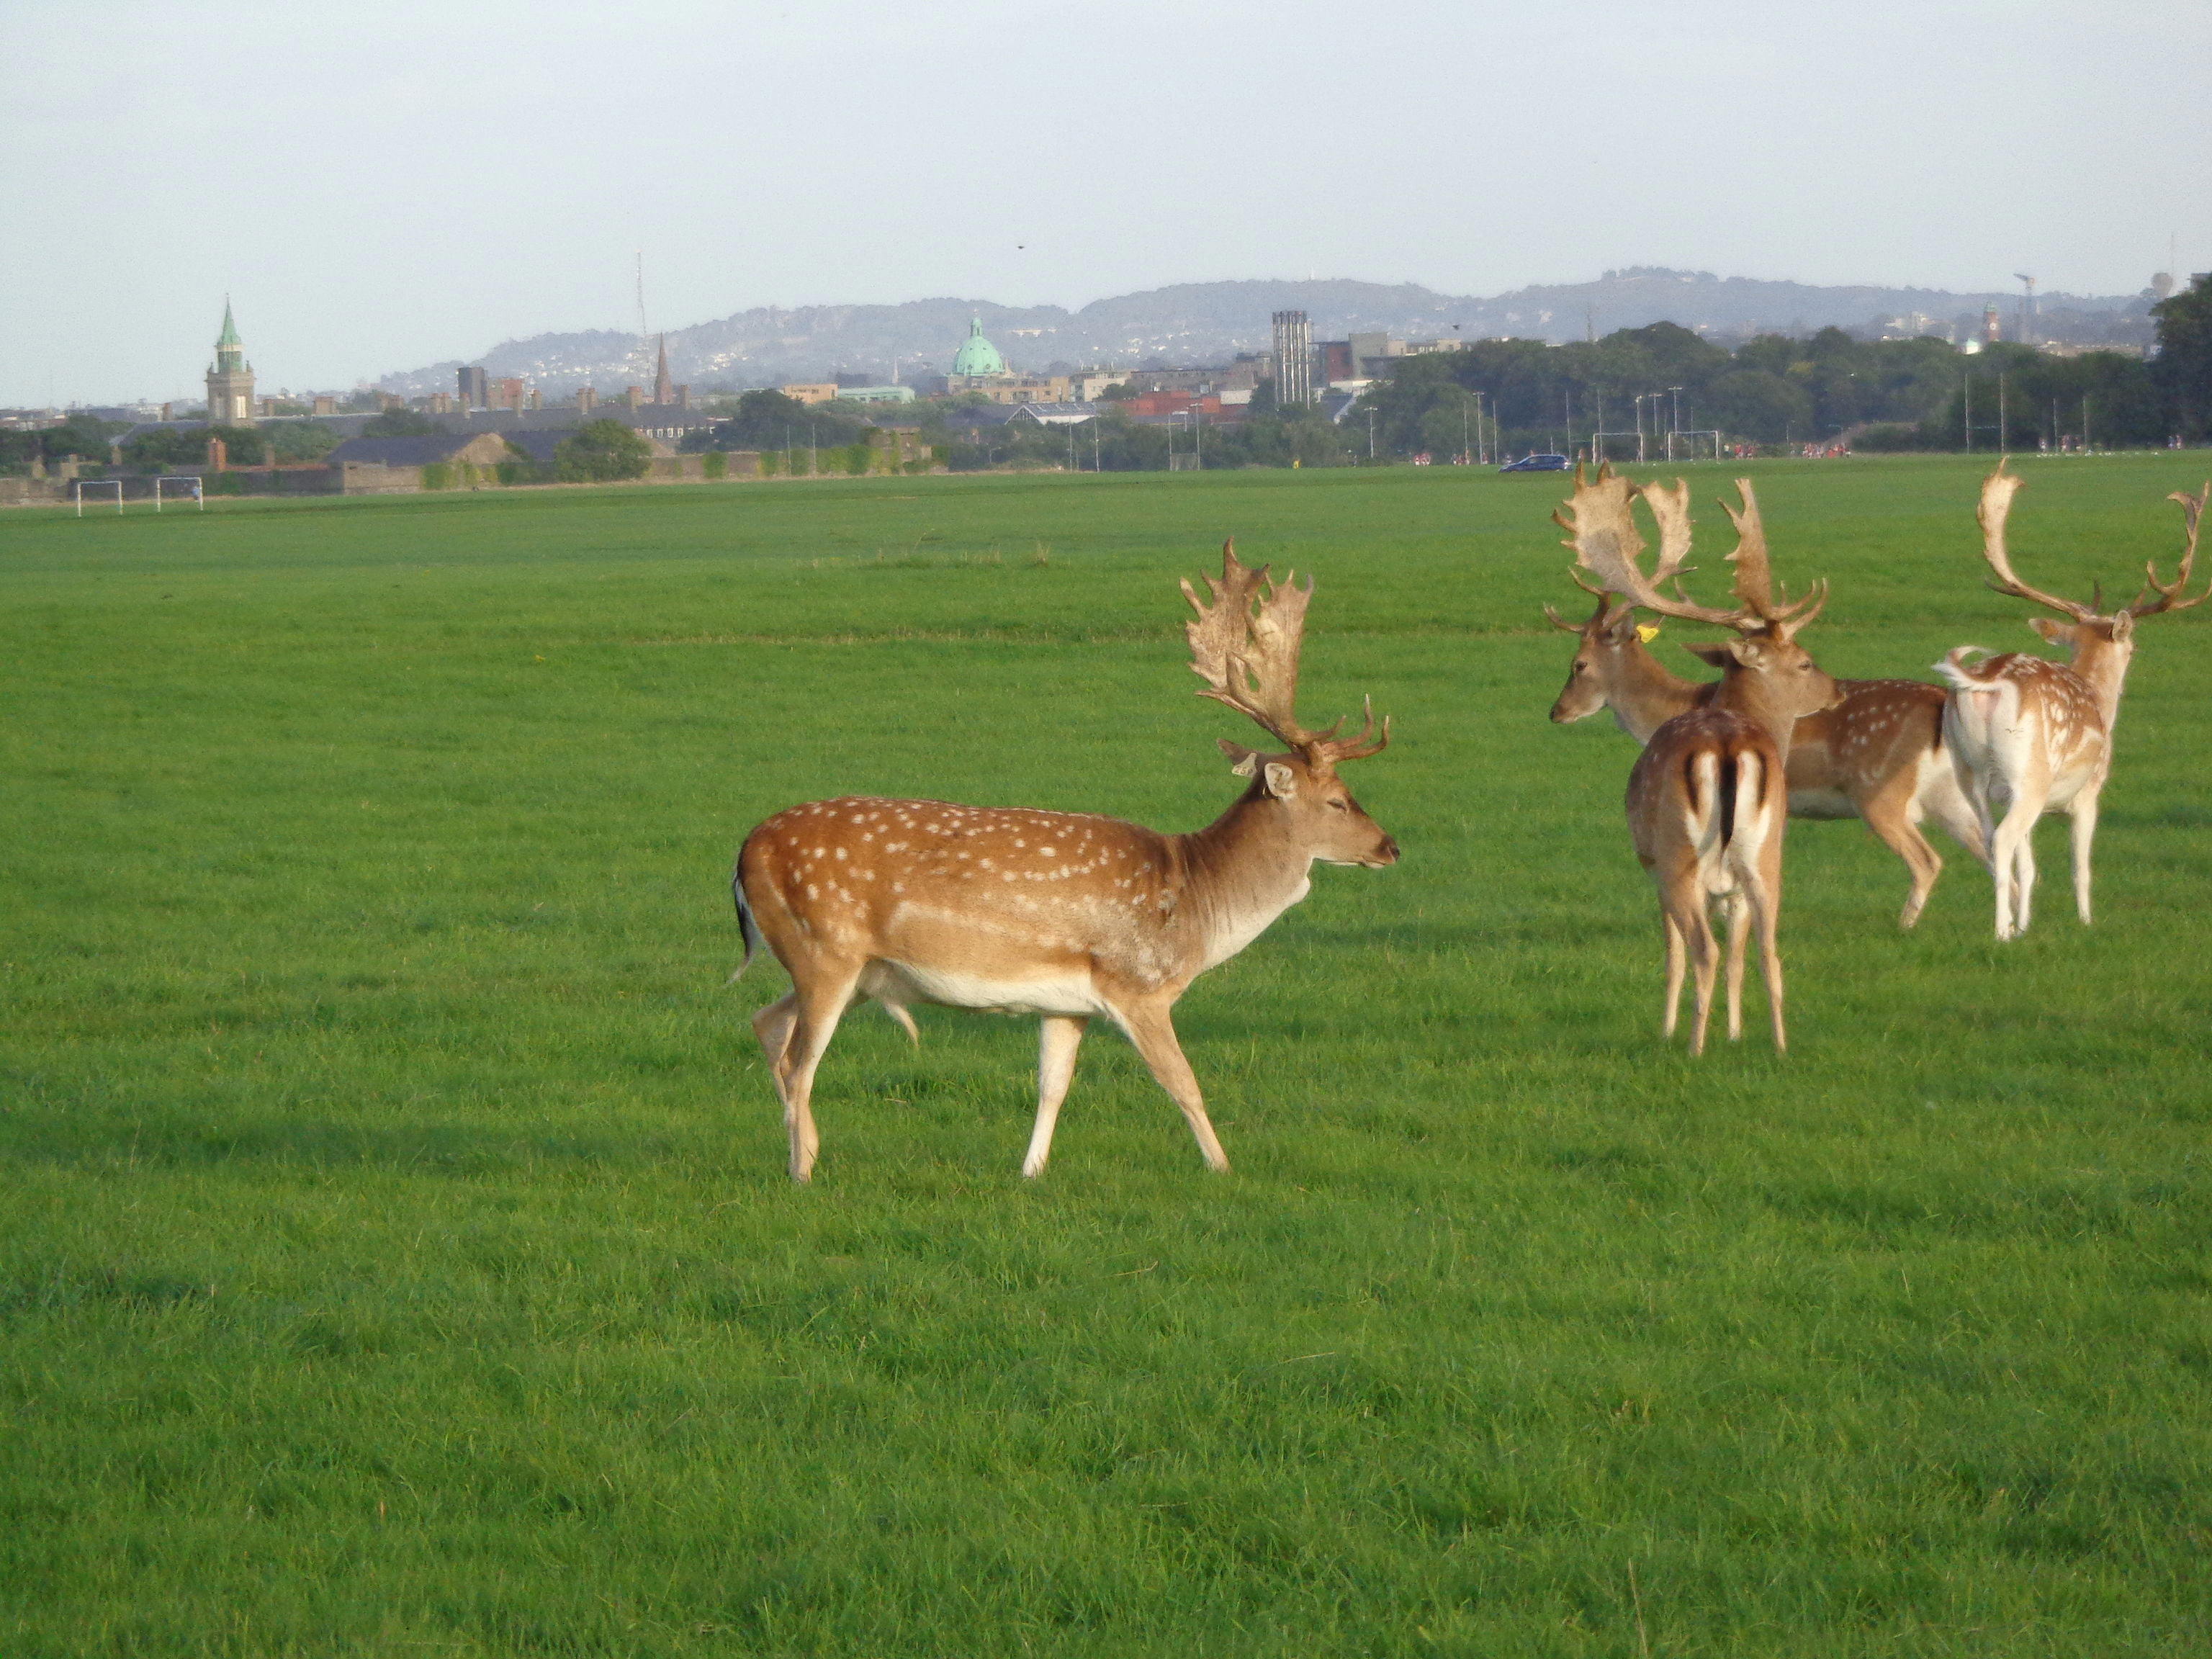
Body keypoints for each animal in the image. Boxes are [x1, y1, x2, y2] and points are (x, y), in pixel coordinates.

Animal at [734, 546, 1389, 1185]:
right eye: (1337, 799)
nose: (1389, 846)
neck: (1196, 899)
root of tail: (744, 854)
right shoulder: (1137, 985)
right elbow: (1183, 1083)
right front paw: (1223, 1168)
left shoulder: (1065, 1004)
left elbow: (1053, 1087)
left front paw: (1031, 1171)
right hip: (825, 949)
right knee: (798, 1061)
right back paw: (802, 1172)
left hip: (856, 972)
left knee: (766, 1021)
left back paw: (805, 1151)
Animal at [1548, 584, 2000, 929]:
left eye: (1579, 664)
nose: (1557, 711)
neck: (1680, 705)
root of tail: (1942, 700)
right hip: (1948, 792)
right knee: (1991, 847)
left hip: (1879, 791)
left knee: (1927, 860)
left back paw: (1905, 926)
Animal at [1557, 471, 1849, 1053]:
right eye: (1806, 662)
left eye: (1578, 666)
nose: (1838, 691)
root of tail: (1729, 748)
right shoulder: (1732, 882)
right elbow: (1740, 954)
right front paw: (1734, 1033)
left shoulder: (1650, 862)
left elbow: (1673, 953)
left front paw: (1671, 1029)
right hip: (1765, 856)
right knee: (1767, 952)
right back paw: (1777, 1046)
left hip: (1678, 857)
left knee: (1702, 950)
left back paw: (1692, 1046)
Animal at [1928, 462, 2203, 942]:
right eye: (2133, 648)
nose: (2134, 652)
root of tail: (1984, 682)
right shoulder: (2088, 790)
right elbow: (2081, 867)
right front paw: (2085, 921)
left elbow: (2030, 865)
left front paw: (2026, 924)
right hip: (2030, 771)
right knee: (2002, 839)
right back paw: (1999, 932)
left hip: (1969, 771)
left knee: (1988, 839)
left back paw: (2006, 924)